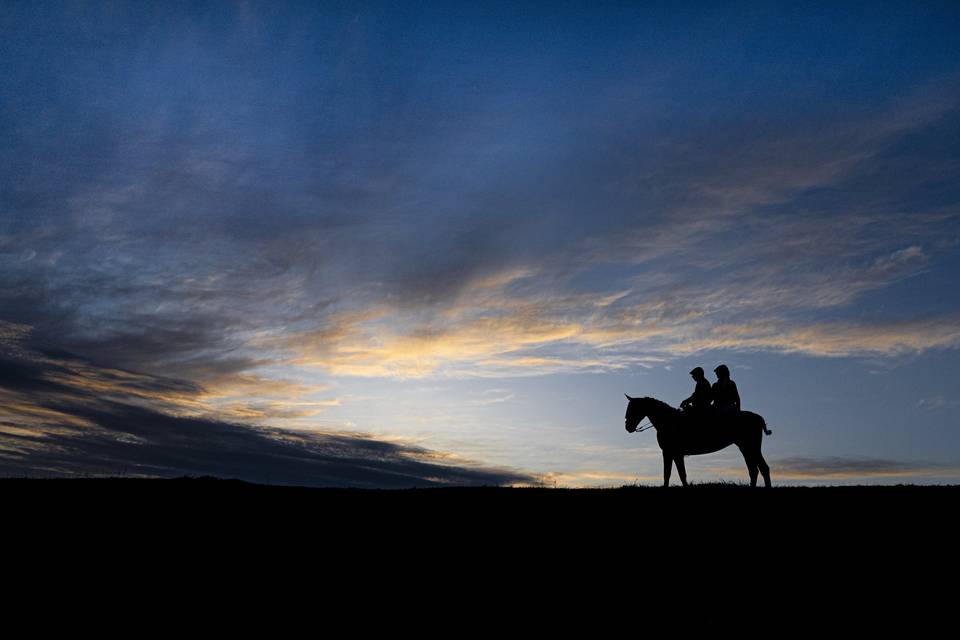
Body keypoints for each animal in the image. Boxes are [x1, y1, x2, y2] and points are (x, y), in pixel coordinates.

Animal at [624, 392, 772, 488]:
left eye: (633, 408)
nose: (628, 427)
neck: (669, 421)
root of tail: (758, 417)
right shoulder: (672, 453)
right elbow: (673, 474)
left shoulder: (672, 453)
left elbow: (676, 473)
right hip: (745, 448)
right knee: (754, 470)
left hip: (751, 447)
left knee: (763, 468)